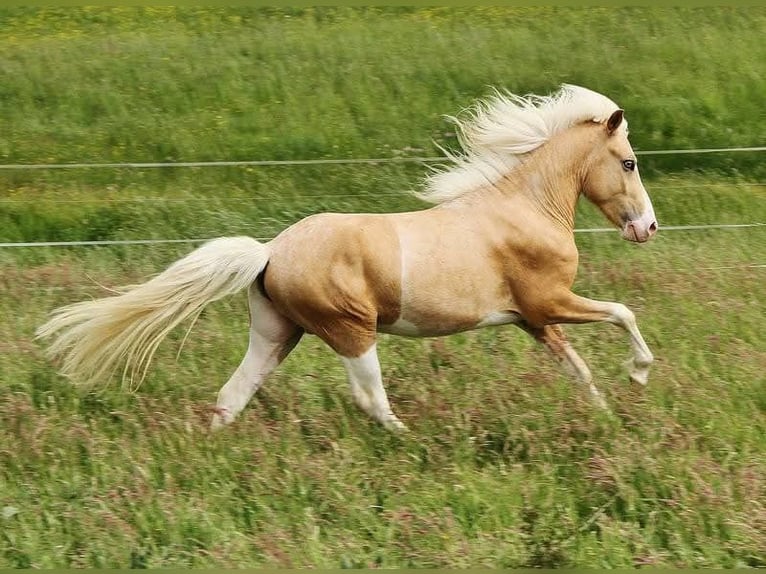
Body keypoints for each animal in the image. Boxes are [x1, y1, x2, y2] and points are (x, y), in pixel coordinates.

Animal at [37, 84, 658, 432]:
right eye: (628, 162)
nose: (647, 228)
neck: (523, 208)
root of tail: (270, 251)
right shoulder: (549, 301)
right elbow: (623, 312)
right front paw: (639, 374)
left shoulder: (532, 319)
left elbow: (577, 369)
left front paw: (606, 414)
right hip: (351, 330)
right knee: (369, 397)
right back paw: (414, 441)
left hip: (276, 333)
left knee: (231, 395)